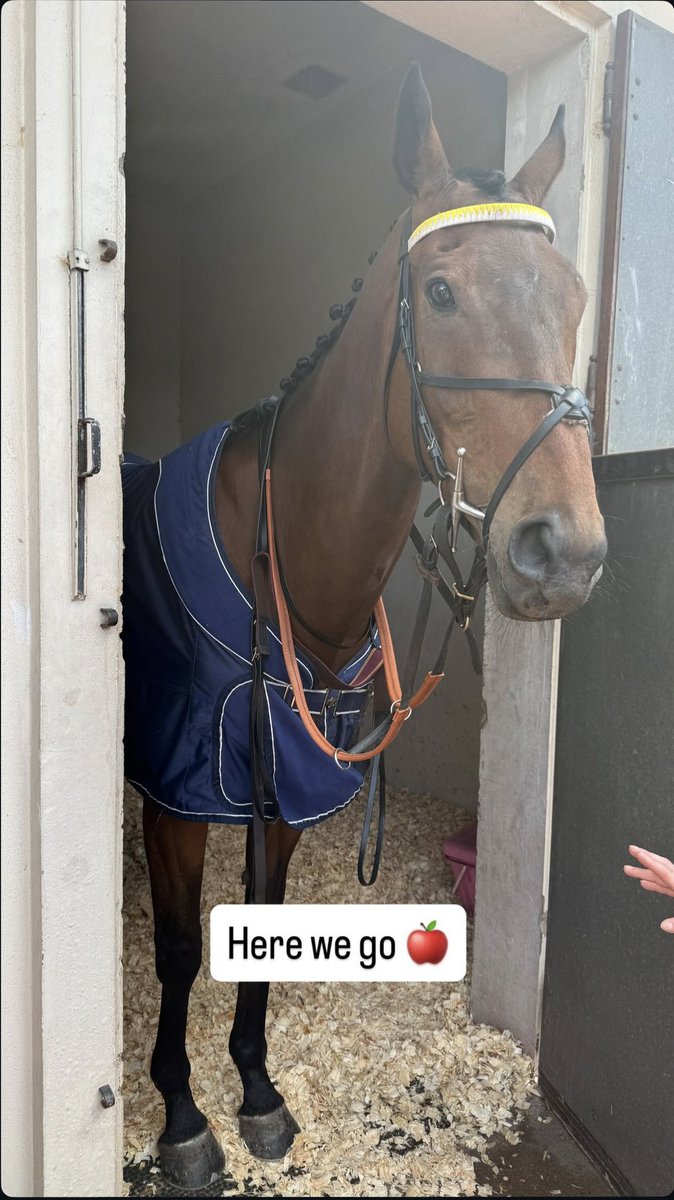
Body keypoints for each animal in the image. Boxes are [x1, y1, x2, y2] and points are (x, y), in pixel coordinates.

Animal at [121, 62, 607, 1188]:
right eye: (440, 292)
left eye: (571, 299)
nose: (561, 550)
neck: (283, 553)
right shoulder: (175, 790)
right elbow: (178, 949)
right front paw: (182, 1119)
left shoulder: (284, 789)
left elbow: (261, 926)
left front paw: (257, 1094)